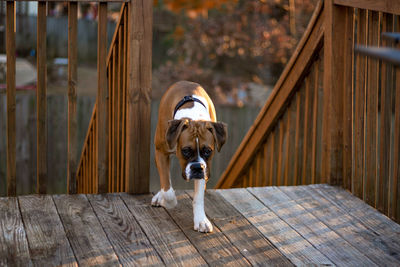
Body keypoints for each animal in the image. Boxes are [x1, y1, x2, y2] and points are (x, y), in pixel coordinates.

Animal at [151, 80, 227, 233]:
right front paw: (166, 200)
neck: (194, 117)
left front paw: (201, 220)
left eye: (208, 151)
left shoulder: (205, 168)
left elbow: (198, 197)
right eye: (185, 151)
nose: (197, 168)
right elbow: (168, 190)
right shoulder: (161, 152)